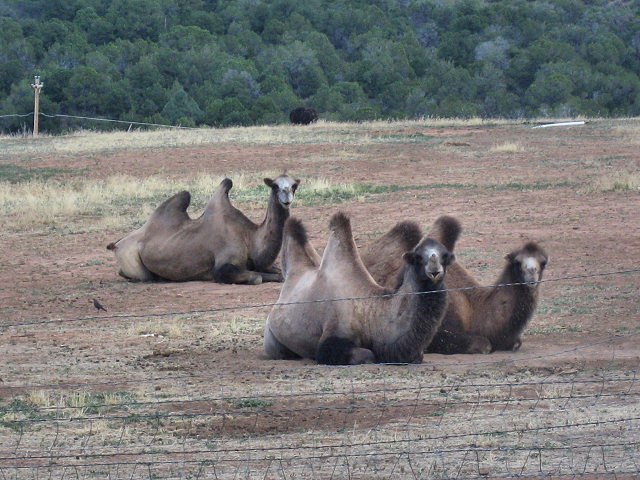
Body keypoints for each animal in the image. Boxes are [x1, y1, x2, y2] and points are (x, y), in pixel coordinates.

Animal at [106, 174, 300, 284]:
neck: (249, 237)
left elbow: (279, 274)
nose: (286, 198)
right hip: (130, 257)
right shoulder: (222, 267)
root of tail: (116, 244)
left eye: (294, 186)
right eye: (274, 186)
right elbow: (256, 277)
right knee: (143, 276)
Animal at [263, 212, 454, 364]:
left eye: (445, 256)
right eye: (418, 257)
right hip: (272, 338)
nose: (434, 269)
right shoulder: (332, 335)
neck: (369, 314)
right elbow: (366, 355)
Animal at [364, 216, 548, 354]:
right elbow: (483, 344)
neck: (473, 309)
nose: (531, 275)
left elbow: (516, 342)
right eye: (518, 262)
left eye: (543, 262)